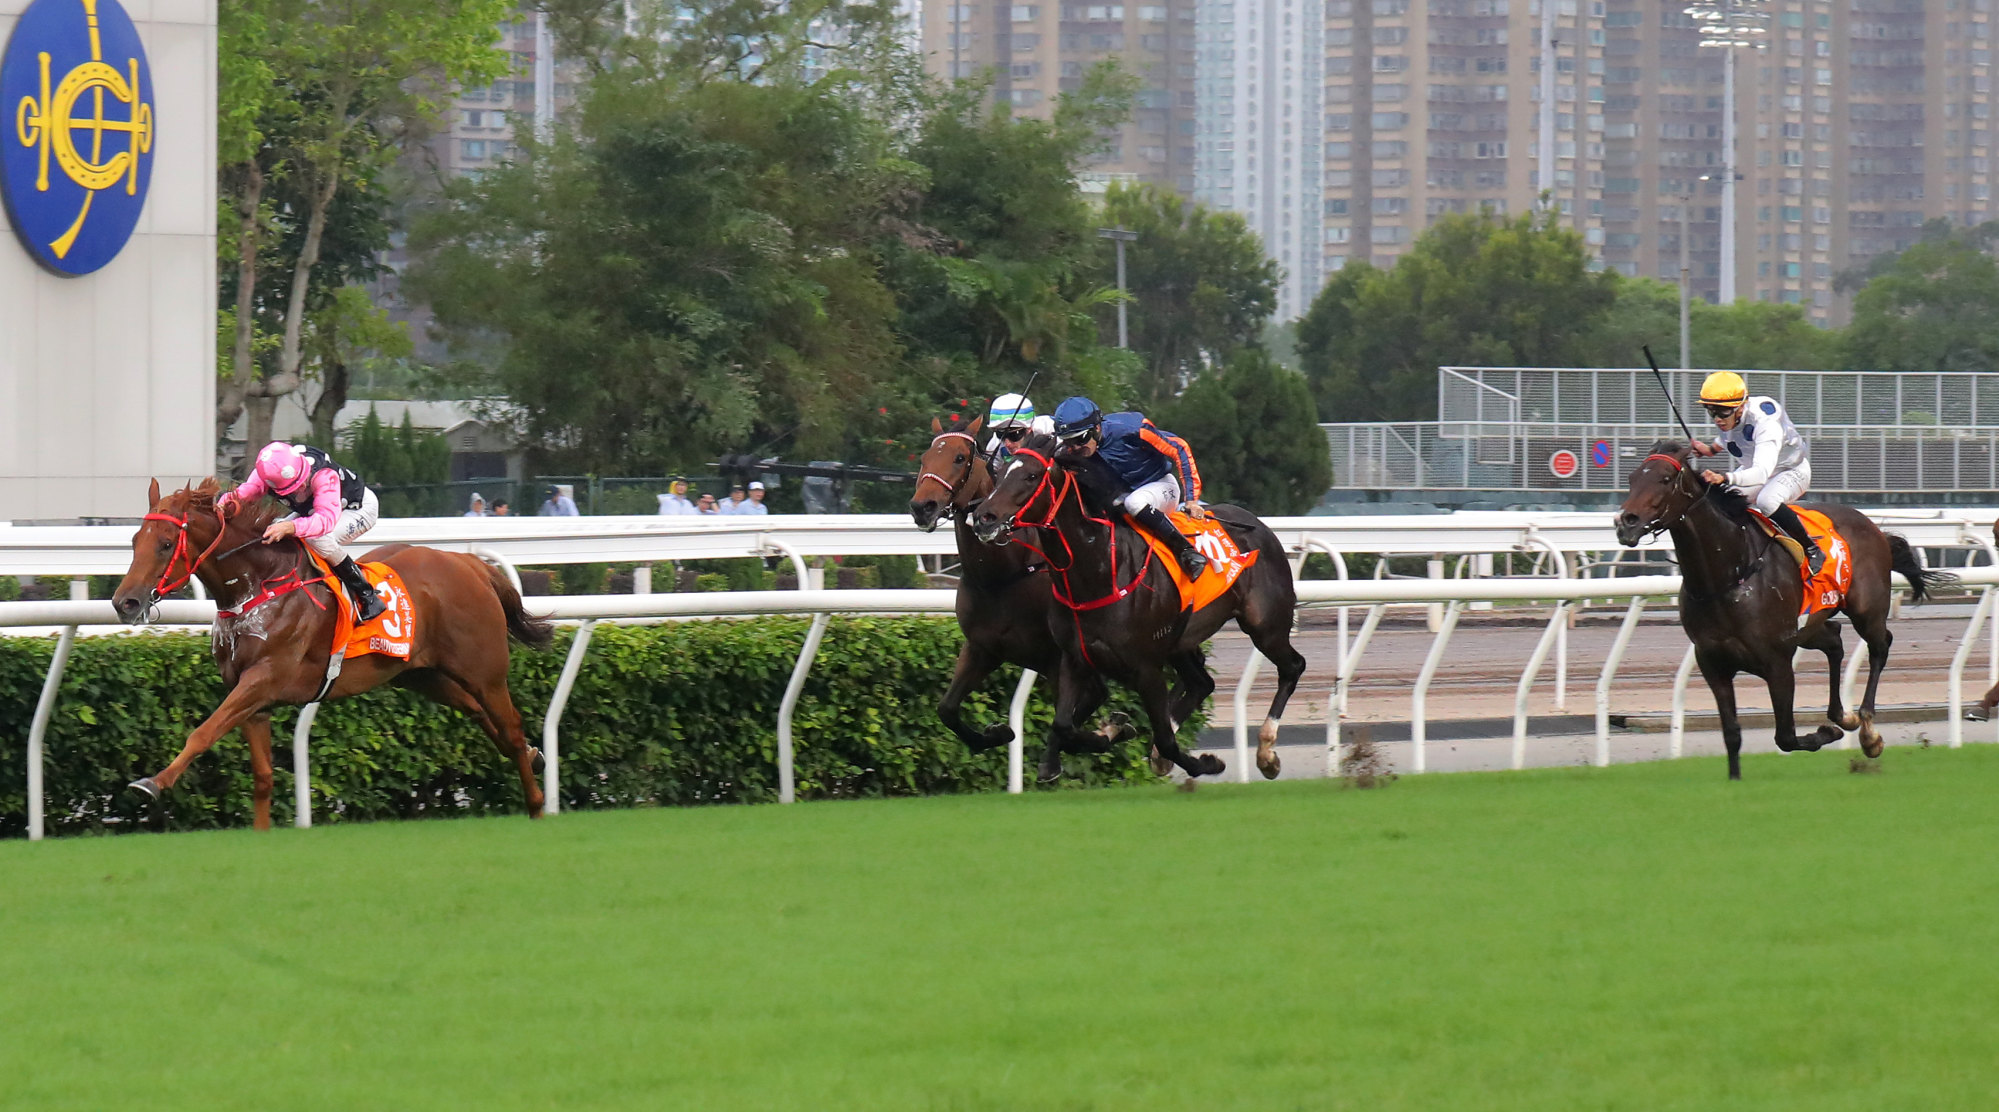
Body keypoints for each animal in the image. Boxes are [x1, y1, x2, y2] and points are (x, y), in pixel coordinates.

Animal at [114, 478, 559, 824]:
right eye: (135, 540)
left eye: (165, 544)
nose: (125, 603)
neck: (259, 586)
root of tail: (471, 565)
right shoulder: (252, 699)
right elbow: (263, 778)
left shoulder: (262, 680)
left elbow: (202, 732)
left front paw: (151, 783)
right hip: (424, 675)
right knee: (483, 715)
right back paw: (535, 756)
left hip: (484, 671)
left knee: (511, 725)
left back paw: (537, 803)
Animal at [971, 428, 1311, 780]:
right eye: (1000, 473)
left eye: (1031, 475)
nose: (984, 517)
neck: (1098, 571)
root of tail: (1257, 524)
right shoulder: (1074, 658)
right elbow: (1063, 724)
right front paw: (1100, 735)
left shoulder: (1146, 668)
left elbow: (1166, 739)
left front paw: (1206, 762)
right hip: (1180, 641)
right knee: (1201, 682)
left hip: (1264, 625)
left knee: (1292, 666)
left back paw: (1267, 753)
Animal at [1615, 438, 1943, 776]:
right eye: (1631, 478)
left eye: (1665, 479)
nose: (1626, 522)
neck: (1728, 576)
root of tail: (1873, 526)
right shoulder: (1713, 663)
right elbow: (1731, 734)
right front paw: (1734, 778)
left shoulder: (1778, 662)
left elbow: (1785, 736)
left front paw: (1826, 733)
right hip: (1807, 626)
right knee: (1834, 639)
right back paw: (1843, 715)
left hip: (1866, 611)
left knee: (1880, 646)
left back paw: (1867, 731)